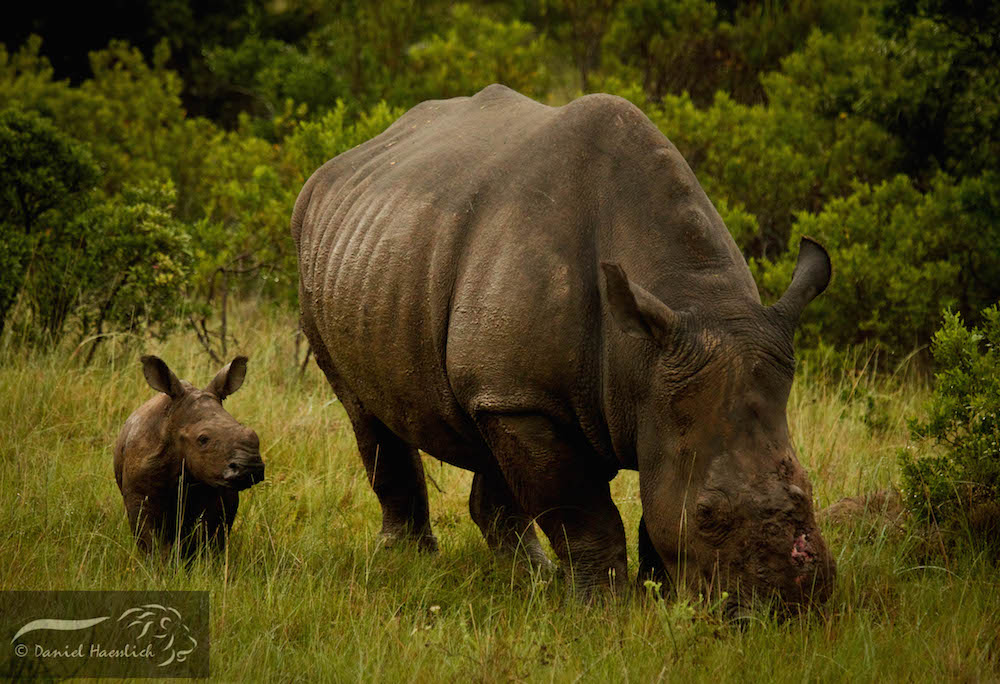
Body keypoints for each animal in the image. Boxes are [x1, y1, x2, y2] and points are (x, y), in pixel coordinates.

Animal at [114, 352, 266, 556]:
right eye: (203, 439)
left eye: (252, 433)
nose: (251, 466)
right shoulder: (138, 493)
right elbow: (150, 540)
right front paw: (160, 563)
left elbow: (208, 537)